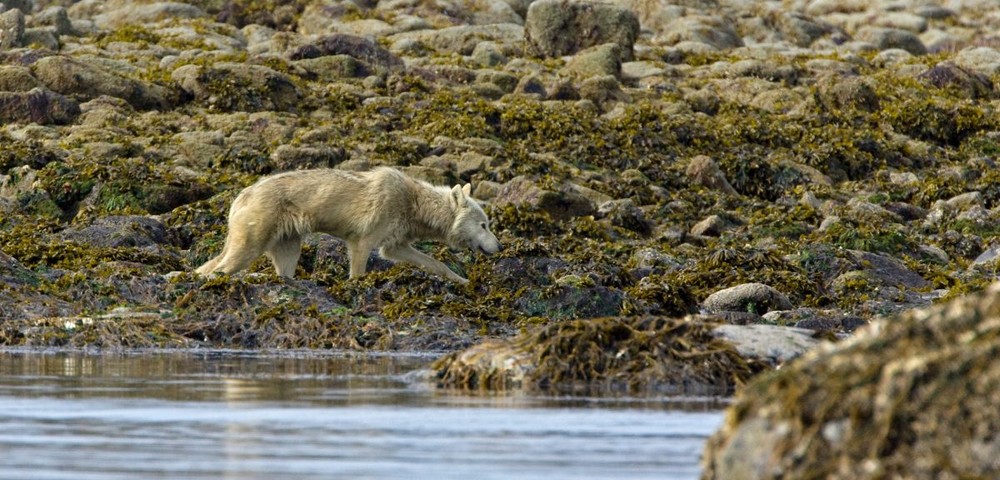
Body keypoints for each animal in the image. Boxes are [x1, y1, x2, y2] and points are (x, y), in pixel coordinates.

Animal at [196, 167, 504, 284]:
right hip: (250, 246)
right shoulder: (362, 241)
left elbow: (437, 264)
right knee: (216, 270)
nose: (500, 247)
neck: (414, 203)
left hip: (287, 249)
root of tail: (241, 195)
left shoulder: (395, 246)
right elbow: (357, 274)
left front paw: (464, 282)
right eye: (484, 225)